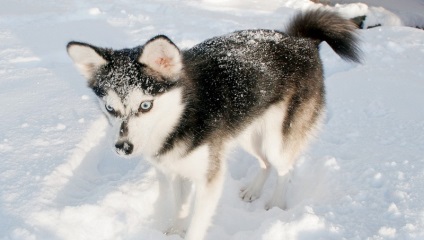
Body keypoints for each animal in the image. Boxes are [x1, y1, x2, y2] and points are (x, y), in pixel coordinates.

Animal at [67, 9, 362, 240]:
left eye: (145, 105)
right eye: (110, 108)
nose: (123, 147)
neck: (182, 117)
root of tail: (301, 41)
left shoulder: (209, 179)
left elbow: (197, 224)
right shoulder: (175, 171)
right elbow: (179, 209)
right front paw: (174, 231)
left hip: (276, 140)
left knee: (283, 169)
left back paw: (276, 204)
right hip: (247, 133)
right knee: (265, 163)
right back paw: (253, 190)